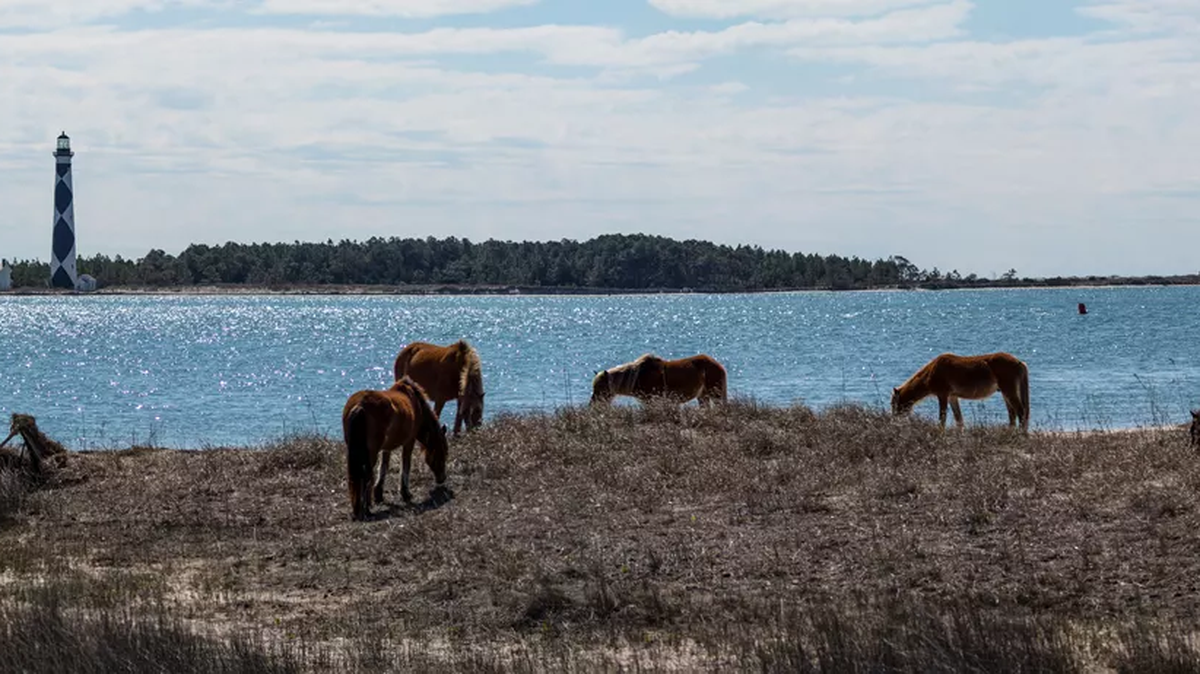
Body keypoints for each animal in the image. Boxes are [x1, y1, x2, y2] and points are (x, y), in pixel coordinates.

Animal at [341, 377, 449, 521]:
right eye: (442, 453)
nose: (442, 478)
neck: (415, 403)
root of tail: (359, 407)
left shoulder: (387, 447)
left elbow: (384, 467)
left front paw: (379, 494)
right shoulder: (409, 442)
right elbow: (406, 465)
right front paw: (405, 493)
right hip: (371, 453)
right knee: (366, 475)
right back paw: (366, 509)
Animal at [591, 353, 727, 406]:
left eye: (601, 387)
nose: (593, 404)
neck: (638, 376)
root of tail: (718, 365)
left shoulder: (651, 401)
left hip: (715, 394)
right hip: (703, 395)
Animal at [891, 352, 1030, 431]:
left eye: (893, 404)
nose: (893, 422)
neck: (932, 371)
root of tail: (1020, 363)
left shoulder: (943, 395)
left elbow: (942, 418)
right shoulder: (952, 397)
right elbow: (959, 420)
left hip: (1009, 391)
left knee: (1021, 413)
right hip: (1005, 393)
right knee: (1012, 415)